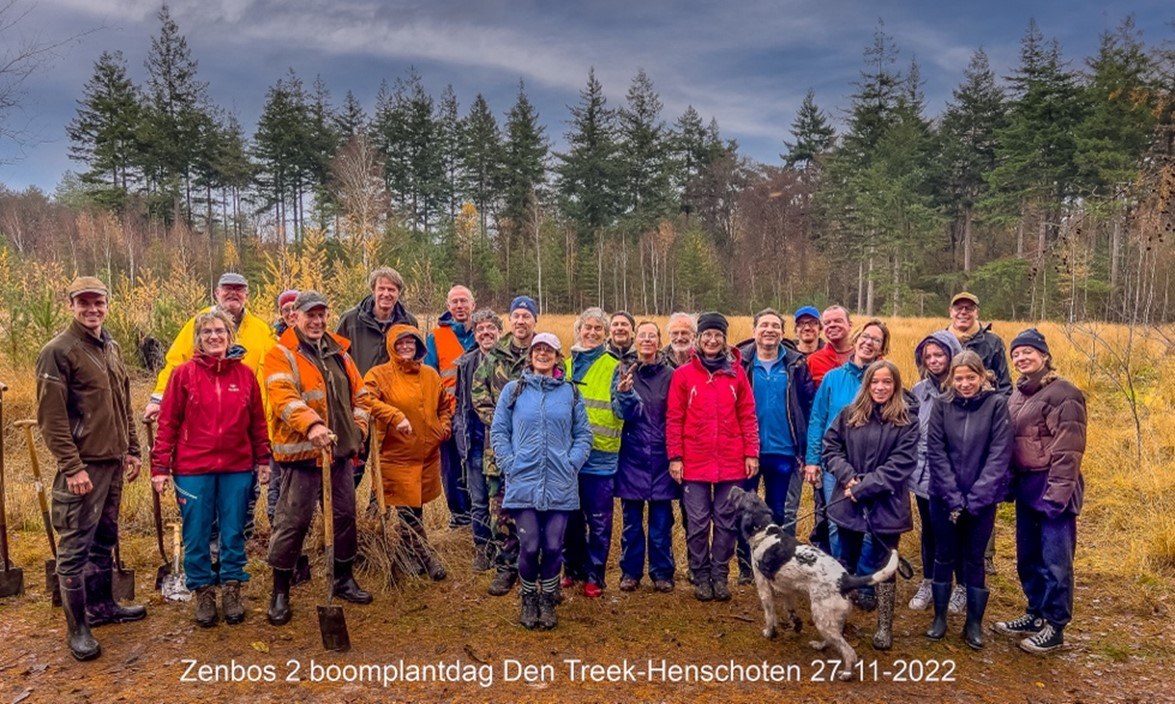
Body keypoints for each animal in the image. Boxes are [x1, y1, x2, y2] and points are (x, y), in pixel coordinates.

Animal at [733, 486, 897, 681]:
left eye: (742, 496)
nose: (735, 487)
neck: (765, 531)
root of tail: (845, 580)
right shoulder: (787, 589)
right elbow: (792, 612)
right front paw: (796, 625)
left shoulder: (764, 587)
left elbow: (769, 616)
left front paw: (770, 633)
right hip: (829, 618)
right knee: (834, 639)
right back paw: (820, 645)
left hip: (821, 617)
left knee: (849, 652)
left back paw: (846, 673)